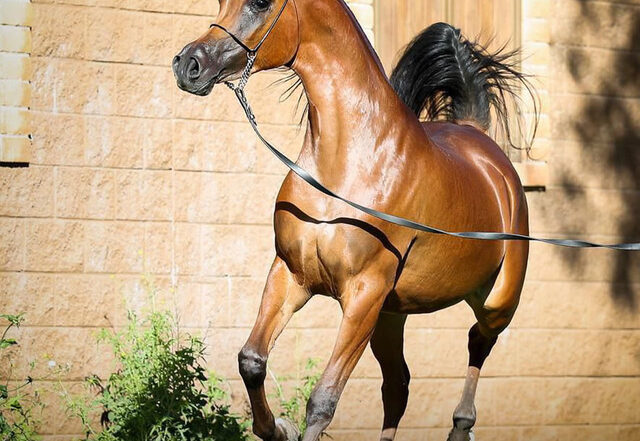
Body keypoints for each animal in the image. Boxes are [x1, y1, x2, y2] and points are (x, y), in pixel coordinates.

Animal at [173, 1, 535, 440]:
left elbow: (323, 399)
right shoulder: (290, 274)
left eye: (260, 4)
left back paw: (460, 426)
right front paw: (277, 428)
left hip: (497, 302)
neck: (350, 164)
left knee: (477, 343)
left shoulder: (363, 293)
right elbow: (252, 360)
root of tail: (479, 141)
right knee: (398, 386)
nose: (188, 64)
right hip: (391, 314)